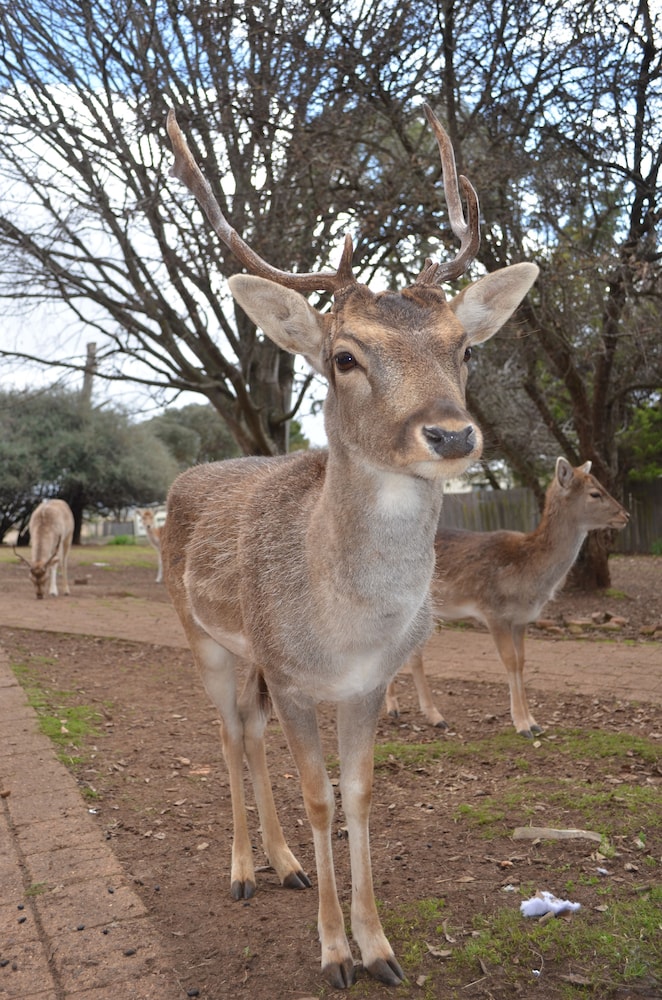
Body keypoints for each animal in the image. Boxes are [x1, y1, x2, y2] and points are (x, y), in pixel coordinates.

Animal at [161, 104, 538, 989]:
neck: (347, 630)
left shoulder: (368, 683)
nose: (451, 433)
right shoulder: (298, 679)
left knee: (249, 732)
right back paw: (242, 871)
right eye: (343, 356)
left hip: (252, 656)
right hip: (202, 635)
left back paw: (286, 864)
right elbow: (320, 796)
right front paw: (333, 954)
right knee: (225, 734)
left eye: (465, 347)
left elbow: (360, 794)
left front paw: (379, 947)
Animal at [385, 457, 630, 738]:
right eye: (595, 493)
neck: (527, 574)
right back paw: (417, 712)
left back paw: (411, 711)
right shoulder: (493, 612)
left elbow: (521, 661)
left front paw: (534, 722)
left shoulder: (521, 619)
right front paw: (522, 725)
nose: (625, 515)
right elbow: (509, 661)